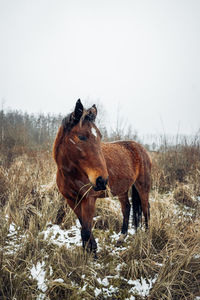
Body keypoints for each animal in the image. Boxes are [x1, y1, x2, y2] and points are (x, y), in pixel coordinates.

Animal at [53, 99, 152, 256]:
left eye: (99, 137)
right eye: (81, 136)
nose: (102, 180)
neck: (72, 174)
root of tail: (141, 148)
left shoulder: (88, 199)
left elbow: (86, 231)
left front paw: (92, 254)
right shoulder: (72, 200)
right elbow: (83, 227)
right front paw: (89, 250)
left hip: (143, 186)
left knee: (145, 208)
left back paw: (147, 237)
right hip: (123, 190)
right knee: (127, 208)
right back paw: (121, 238)